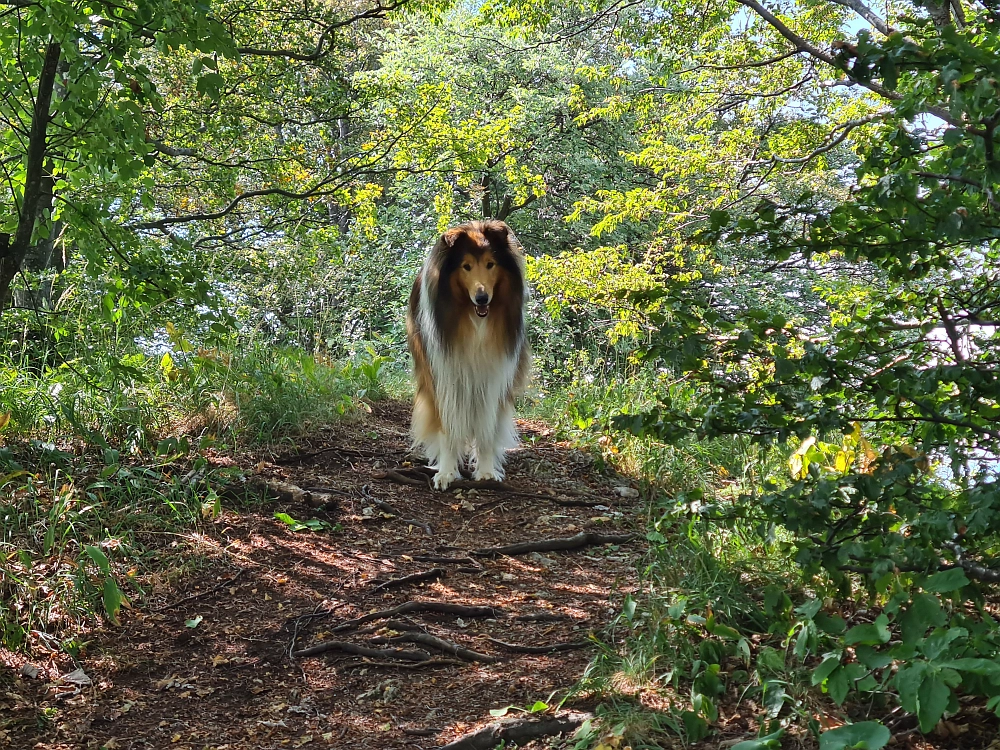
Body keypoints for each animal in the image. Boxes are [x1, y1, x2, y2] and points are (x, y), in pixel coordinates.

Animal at [406, 220, 532, 490]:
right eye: (466, 266)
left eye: (490, 264)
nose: (482, 298)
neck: (474, 321)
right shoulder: (443, 377)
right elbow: (447, 428)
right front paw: (446, 472)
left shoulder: (494, 377)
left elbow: (486, 430)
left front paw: (486, 471)